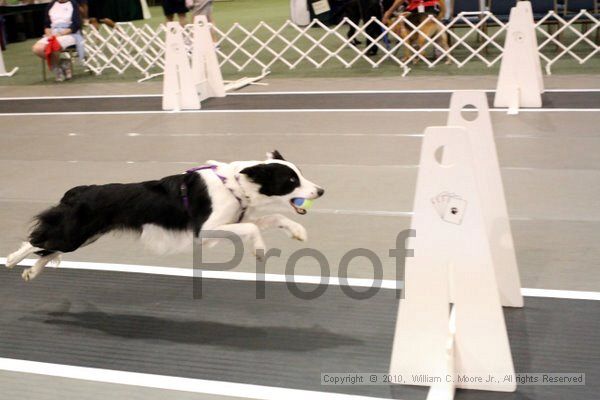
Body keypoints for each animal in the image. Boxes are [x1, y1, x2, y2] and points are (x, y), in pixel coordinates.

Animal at [5, 152, 324, 282]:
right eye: (291, 180)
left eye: (300, 174)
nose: (321, 190)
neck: (234, 184)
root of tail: (80, 190)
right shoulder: (205, 229)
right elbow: (252, 228)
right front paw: (259, 250)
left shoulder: (230, 221)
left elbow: (270, 219)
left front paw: (297, 231)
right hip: (75, 233)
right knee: (37, 240)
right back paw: (11, 260)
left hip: (86, 235)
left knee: (47, 248)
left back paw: (32, 272)